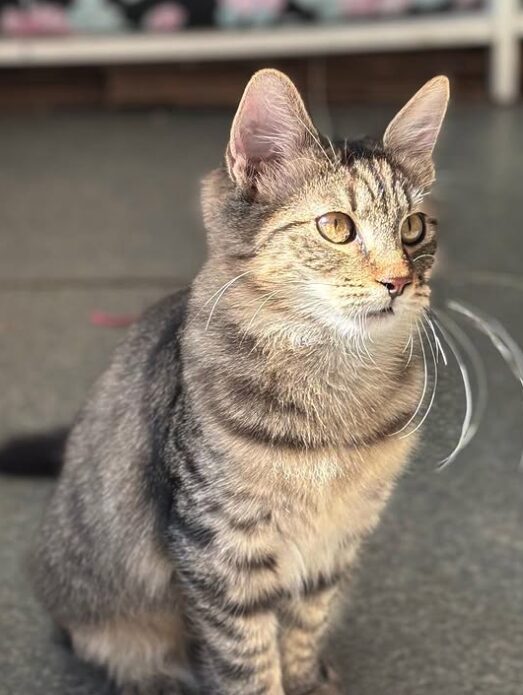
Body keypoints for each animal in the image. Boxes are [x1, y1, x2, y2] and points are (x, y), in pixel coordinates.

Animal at [30, 66, 450, 695]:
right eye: (336, 226)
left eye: (414, 228)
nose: (400, 282)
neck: (336, 390)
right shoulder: (220, 550)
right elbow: (247, 663)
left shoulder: (332, 543)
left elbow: (303, 630)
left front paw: (308, 679)